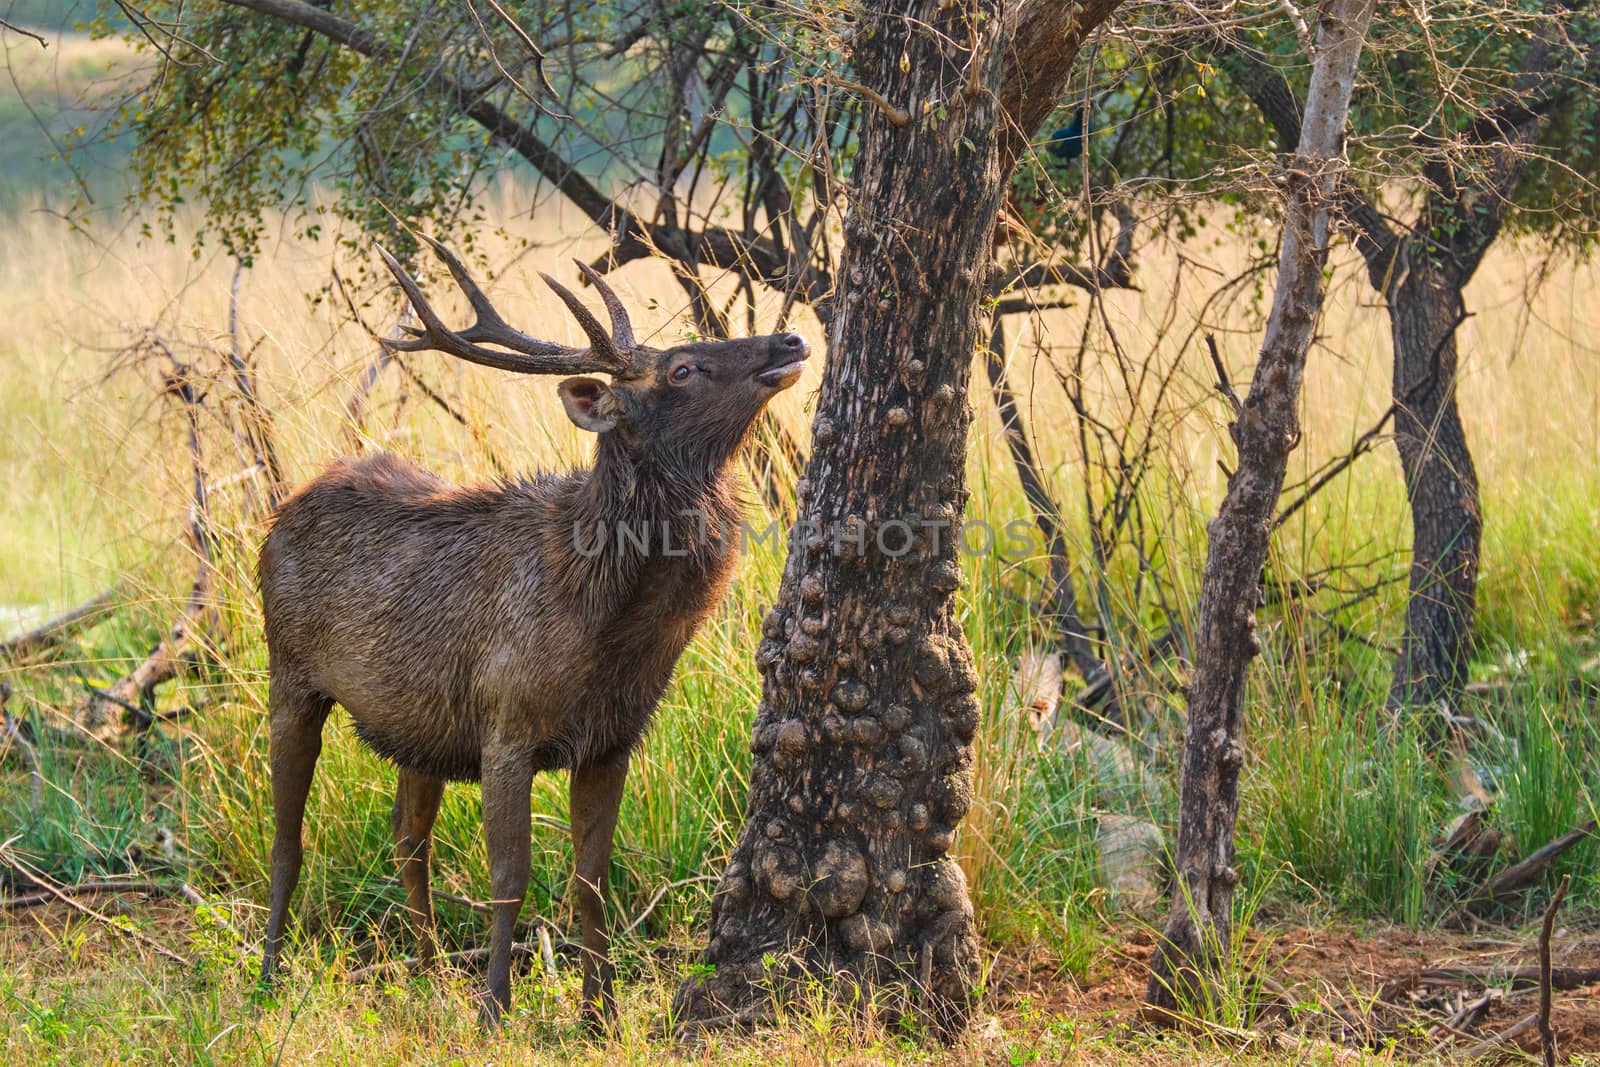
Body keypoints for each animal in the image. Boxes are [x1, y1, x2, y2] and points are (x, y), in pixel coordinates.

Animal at [264, 238, 812, 1023]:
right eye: (681, 368)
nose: (790, 341)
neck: (604, 626)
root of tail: (283, 507)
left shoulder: (613, 737)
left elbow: (591, 877)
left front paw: (601, 1012)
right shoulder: (506, 723)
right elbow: (509, 875)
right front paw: (496, 1007)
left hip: (418, 726)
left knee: (408, 838)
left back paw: (429, 973)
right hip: (290, 673)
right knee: (288, 835)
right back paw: (268, 974)